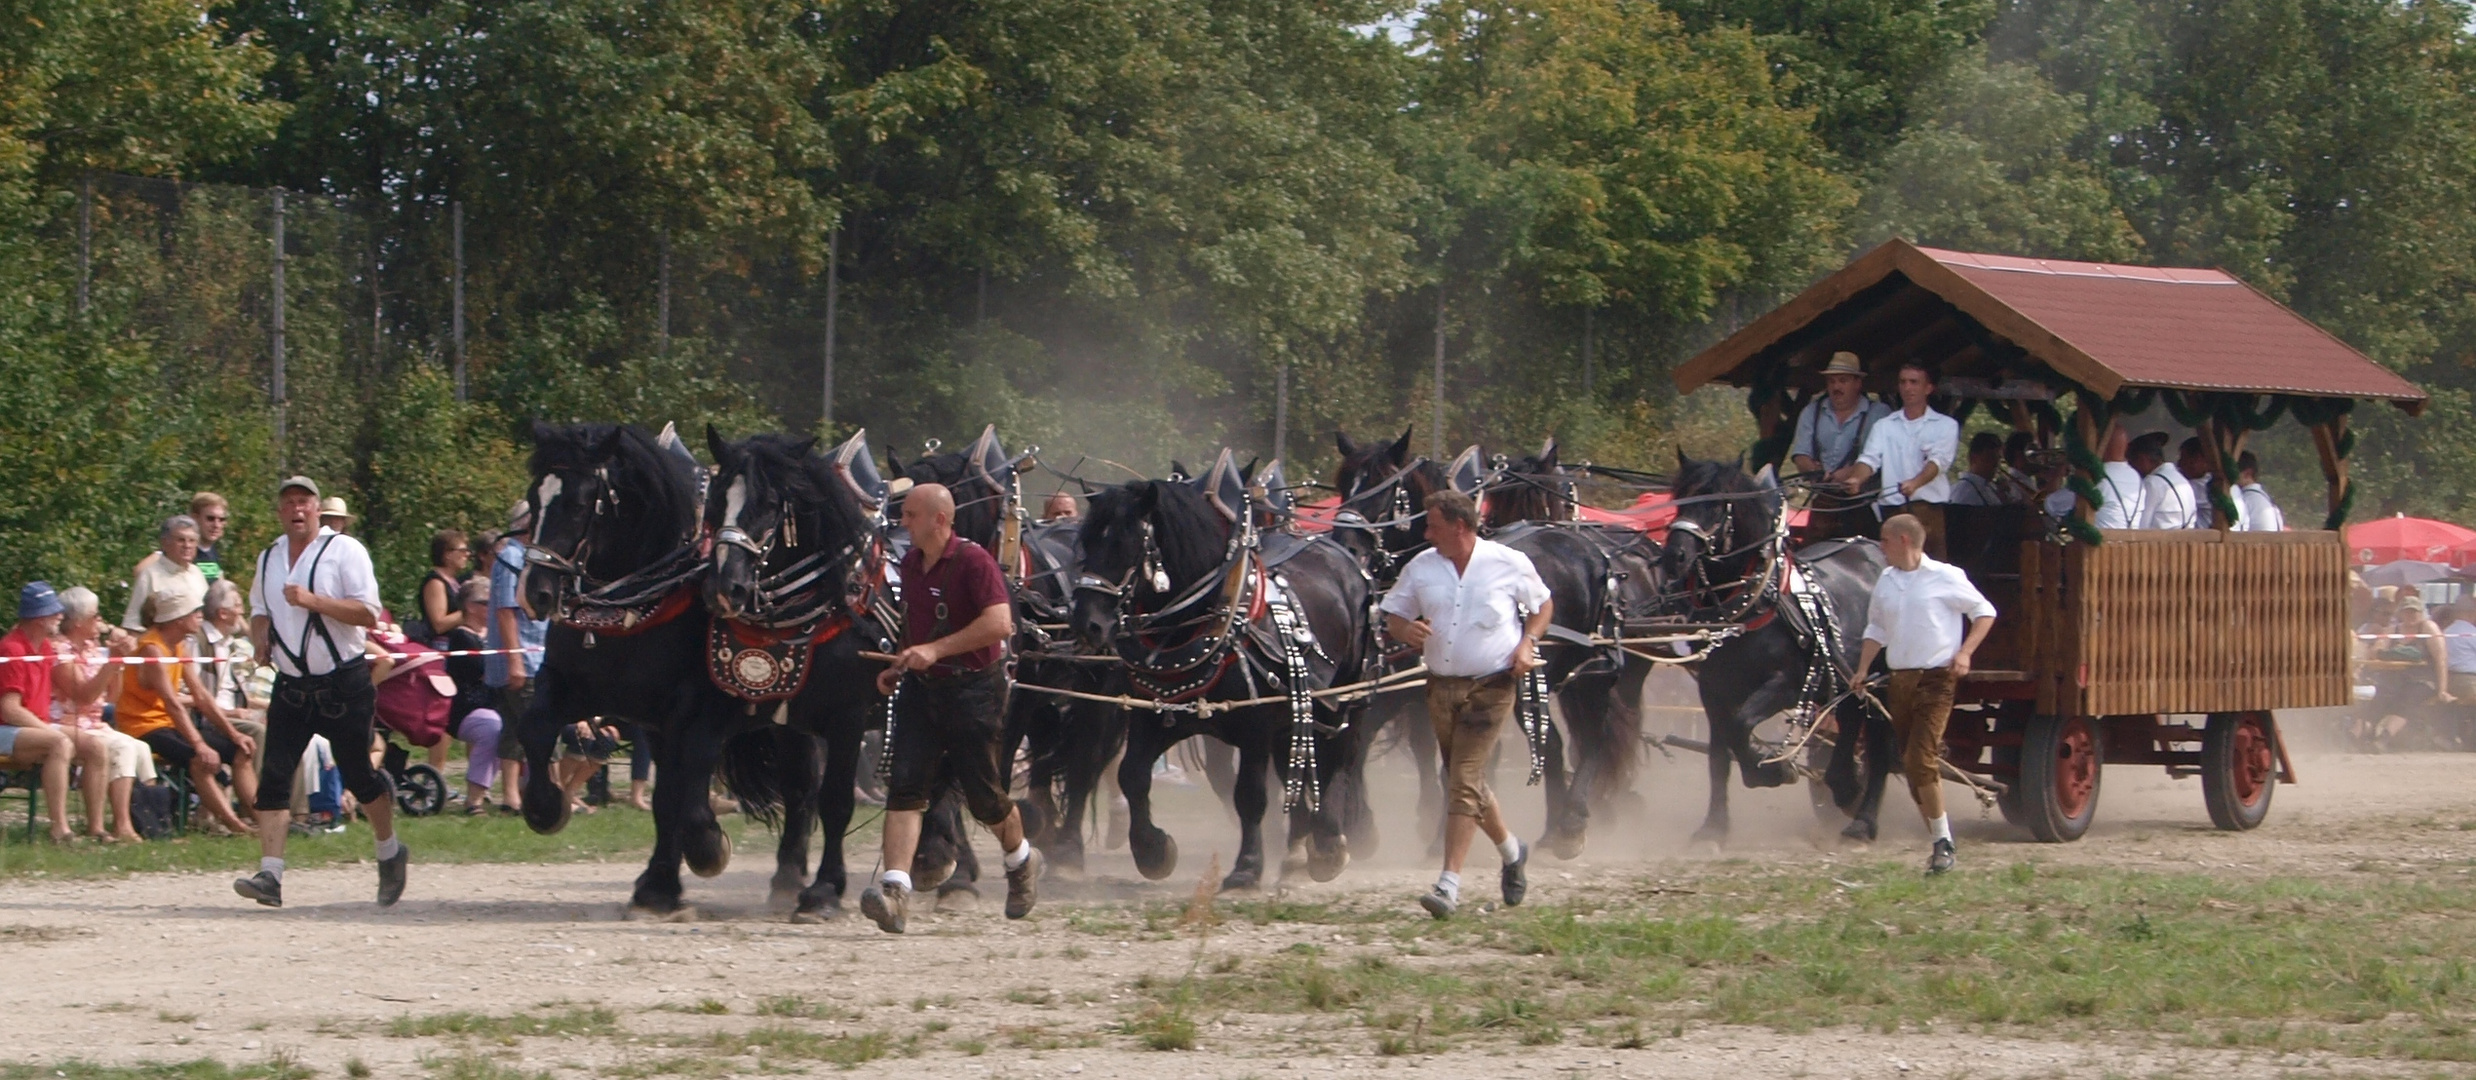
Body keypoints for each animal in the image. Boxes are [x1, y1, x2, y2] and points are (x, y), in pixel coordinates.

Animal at [512, 421, 722, 911]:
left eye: (577, 504)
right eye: (534, 499)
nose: (536, 591)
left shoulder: (688, 708)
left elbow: (681, 785)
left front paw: (703, 845)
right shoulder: (584, 692)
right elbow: (534, 726)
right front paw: (545, 806)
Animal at [1069, 475, 1366, 891]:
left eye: (1124, 544)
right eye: (1087, 541)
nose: (1087, 623)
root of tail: (1339, 555)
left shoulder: (1256, 725)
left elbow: (1251, 795)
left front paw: (1247, 866)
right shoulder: (1154, 715)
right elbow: (1132, 775)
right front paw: (1152, 851)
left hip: (1344, 695)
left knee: (1339, 757)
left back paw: (1327, 844)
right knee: (1297, 764)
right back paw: (1296, 852)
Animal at [1663, 455, 1891, 842]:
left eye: (1717, 503)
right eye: (1680, 500)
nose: (1674, 555)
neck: (1751, 607)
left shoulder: (1787, 684)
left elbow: (1740, 725)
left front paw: (1769, 770)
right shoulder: (1712, 689)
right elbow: (1719, 755)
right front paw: (1714, 827)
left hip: (1887, 681)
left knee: (1881, 741)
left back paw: (1864, 821)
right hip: (1849, 677)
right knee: (1850, 721)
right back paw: (1844, 786)